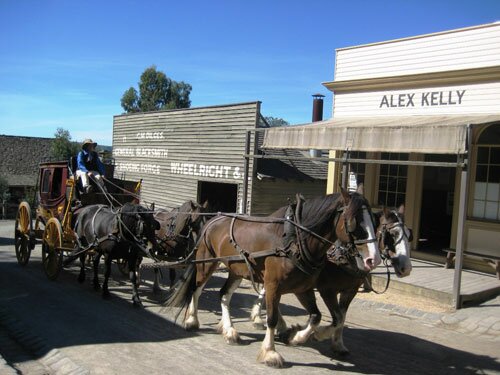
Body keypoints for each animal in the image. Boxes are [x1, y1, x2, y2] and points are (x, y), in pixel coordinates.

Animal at [164, 187, 378, 368]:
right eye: (353, 222)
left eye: (374, 220)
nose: (373, 259)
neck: (294, 240)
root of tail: (212, 220)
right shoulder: (275, 285)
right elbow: (272, 318)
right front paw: (270, 352)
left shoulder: (303, 288)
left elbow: (320, 317)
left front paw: (298, 336)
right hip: (206, 263)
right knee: (196, 289)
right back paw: (192, 320)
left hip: (237, 270)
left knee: (224, 294)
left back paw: (230, 330)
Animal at [252, 206, 412, 356]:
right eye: (392, 234)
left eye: (409, 234)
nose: (406, 268)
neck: (345, 255)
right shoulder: (327, 290)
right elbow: (338, 318)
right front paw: (317, 334)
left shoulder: (350, 291)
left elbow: (341, 318)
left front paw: (338, 344)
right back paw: (259, 318)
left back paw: (278, 324)